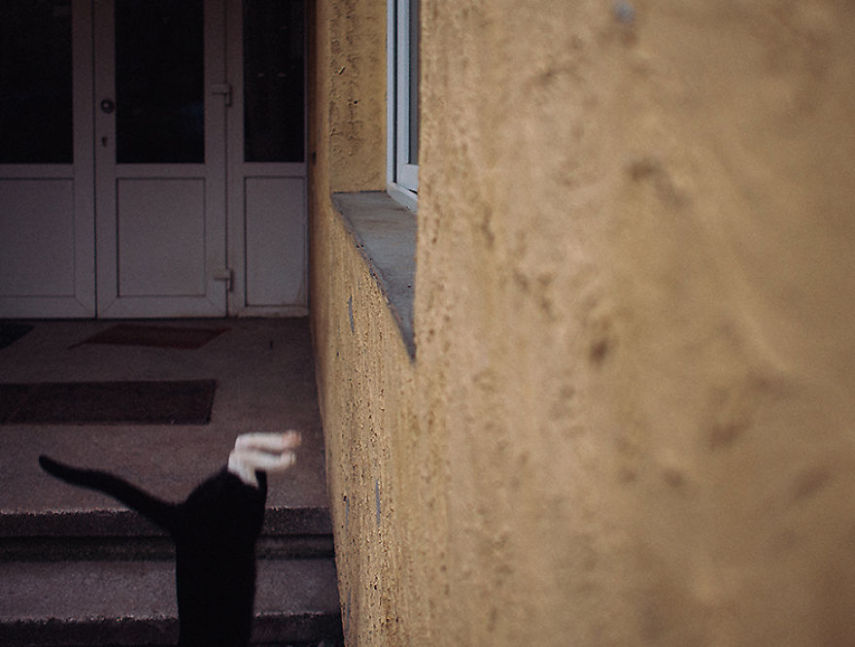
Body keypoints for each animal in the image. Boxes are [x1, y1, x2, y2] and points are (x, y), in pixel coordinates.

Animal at [39, 432, 300, 647]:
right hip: (245, 517)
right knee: (239, 455)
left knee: (239, 454)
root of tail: (180, 515)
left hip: (242, 515)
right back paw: (285, 448)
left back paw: (286, 450)